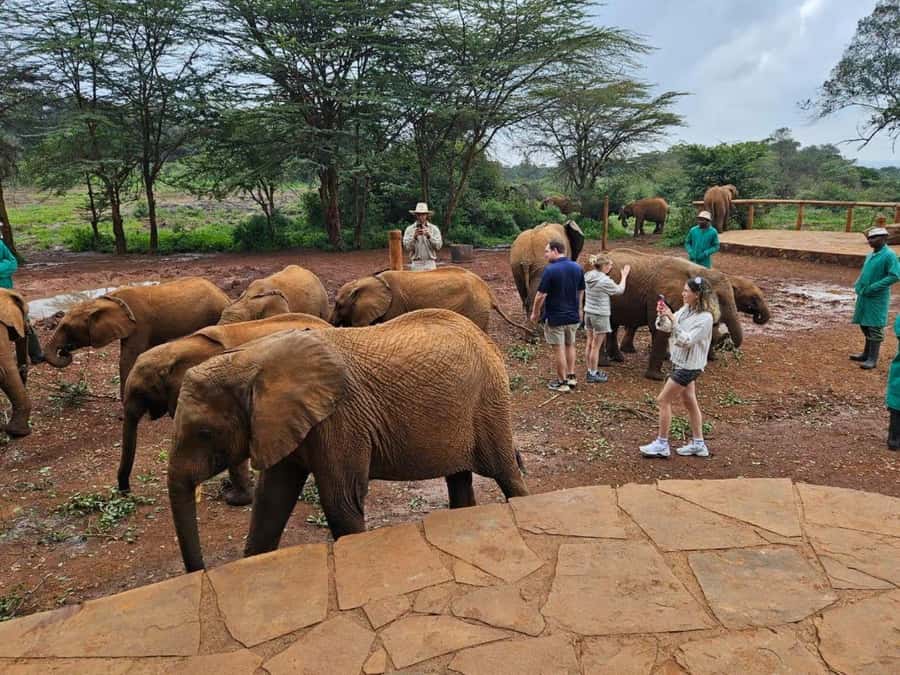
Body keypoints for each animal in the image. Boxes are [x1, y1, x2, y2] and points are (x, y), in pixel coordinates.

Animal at [42, 278, 229, 398]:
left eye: (67, 328)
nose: (64, 351)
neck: (105, 300)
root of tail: (224, 294)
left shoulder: (139, 323)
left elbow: (128, 359)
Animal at [167, 309, 530, 572]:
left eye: (205, 433)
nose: (199, 571)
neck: (253, 360)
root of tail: (486, 338)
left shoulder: (339, 419)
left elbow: (341, 501)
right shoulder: (283, 424)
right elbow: (271, 499)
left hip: (489, 401)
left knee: (505, 472)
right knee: (459, 476)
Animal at [600, 249, 746, 380]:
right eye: (719, 298)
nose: (726, 336)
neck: (695, 270)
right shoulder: (657, 294)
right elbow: (659, 329)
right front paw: (657, 378)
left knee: (612, 325)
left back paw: (618, 359)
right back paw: (605, 363)